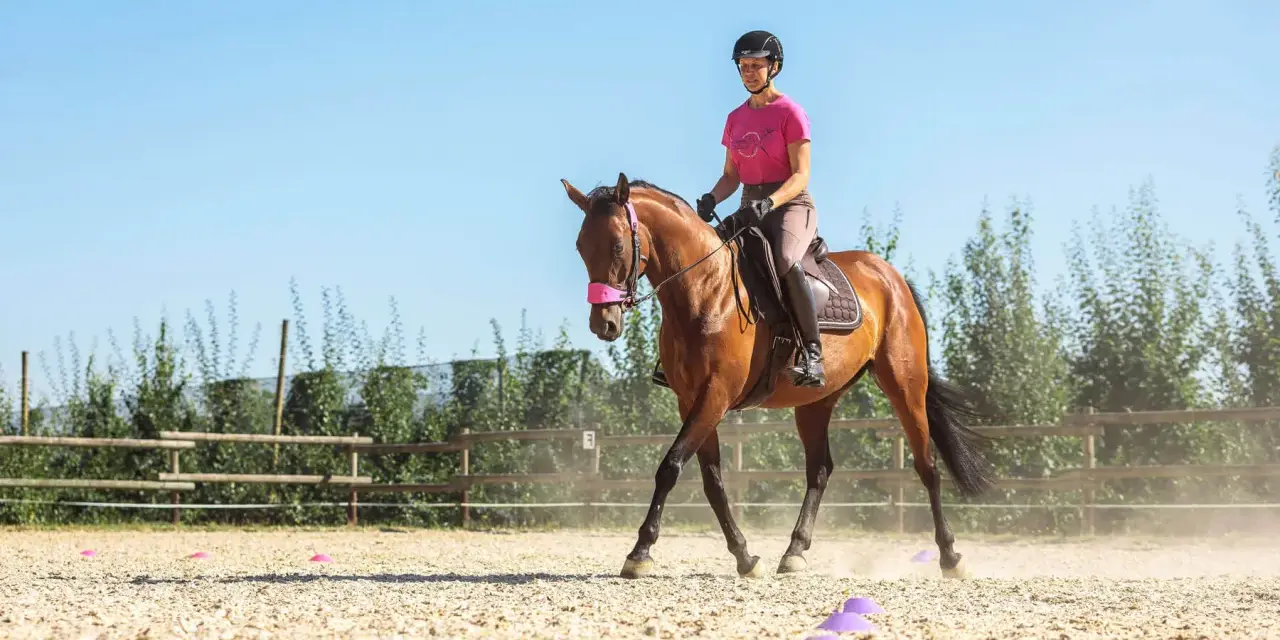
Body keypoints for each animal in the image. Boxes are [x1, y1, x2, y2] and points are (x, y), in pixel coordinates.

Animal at [562, 172, 995, 579]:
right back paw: (795, 551)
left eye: (618, 246)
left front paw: (639, 553)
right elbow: (712, 481)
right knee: (819, 471)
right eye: (581, 247)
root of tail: (892, 277)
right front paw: (744, 556)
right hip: (816, 402)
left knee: (927, 466)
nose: (604, 324)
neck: (705, 289)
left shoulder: (715, 395)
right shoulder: (692, 400)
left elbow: (670, 467)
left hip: (905, 387)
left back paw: (951, 556)